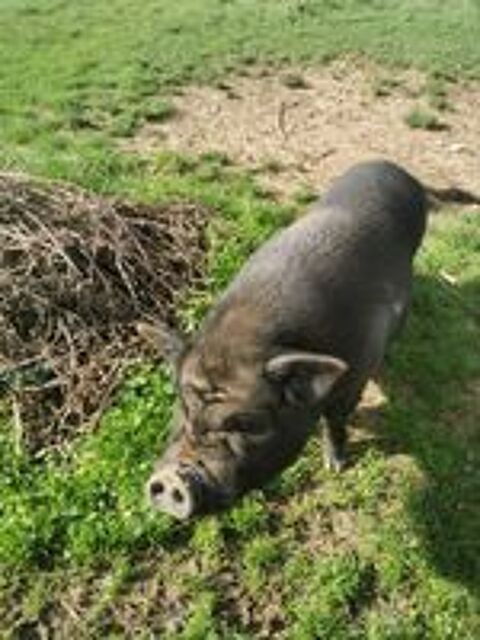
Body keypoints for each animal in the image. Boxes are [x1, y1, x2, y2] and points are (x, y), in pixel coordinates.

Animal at [147, 160, 427, 520]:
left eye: (247, 424)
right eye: (183, 406)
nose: (171, 478)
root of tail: (392, 166)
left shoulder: (356, 376)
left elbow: (336, 421)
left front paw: (335, 467)